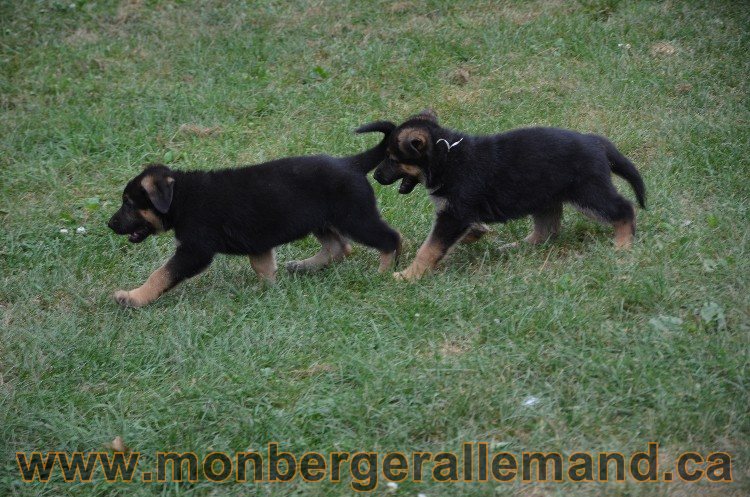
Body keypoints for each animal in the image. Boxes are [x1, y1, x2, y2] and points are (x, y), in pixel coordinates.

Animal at [108, 120, 402, 306]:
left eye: (128, 203)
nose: (110, 224)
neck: (182, 198)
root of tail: (351, 163)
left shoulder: (195, 250)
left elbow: (161, 274)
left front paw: (133, 297)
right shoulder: (257, 242)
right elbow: (262, 266)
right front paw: (267, 289)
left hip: (356, 218)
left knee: (390, 238)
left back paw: (384, 271)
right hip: (322, 221)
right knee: (339, 247)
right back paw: (303, 266)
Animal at [376, 110, 648, 280]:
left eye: (392, 158)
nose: (376, 176)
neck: (446, 156)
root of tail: (595, 141)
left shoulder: (453, 215)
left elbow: (429, 248)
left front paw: (409, 275)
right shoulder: (456, 215)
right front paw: (475, 234)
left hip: (588, 194)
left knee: (624, 208)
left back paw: (623, 245)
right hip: (544, 196)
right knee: (547, 231)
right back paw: (516, 246)